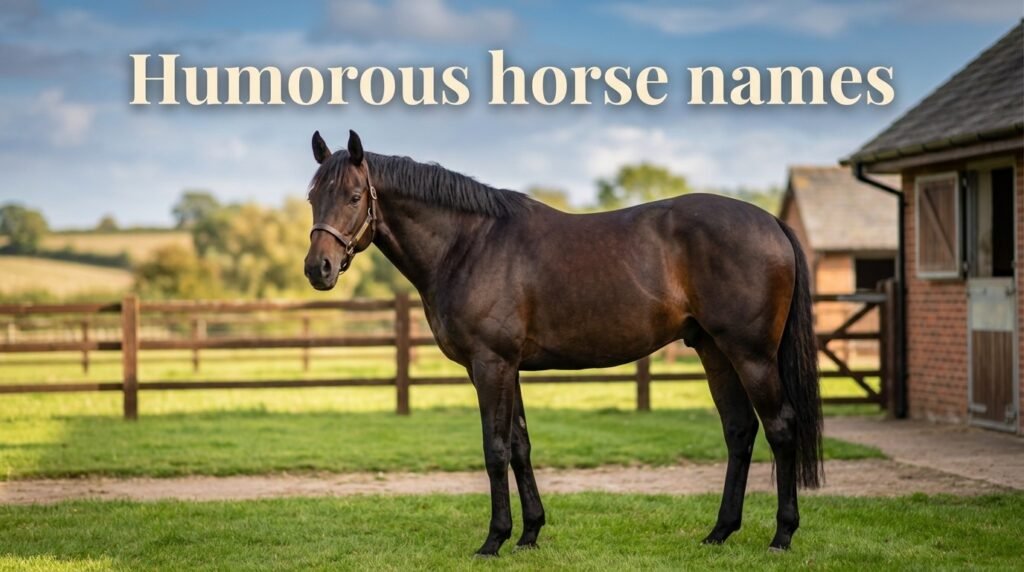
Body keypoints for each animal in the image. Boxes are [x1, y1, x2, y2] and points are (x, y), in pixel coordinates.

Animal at [303, 130, 823, 556]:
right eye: (312, 197)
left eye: (354, 196)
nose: (317, 268)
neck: (469, 245)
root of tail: (772, 223)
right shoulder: (507, 367)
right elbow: (520, 445)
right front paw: (529, 533)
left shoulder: (490, 365)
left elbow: (495, 448)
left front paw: (493, 540)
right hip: (715, 350)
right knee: (739, 430)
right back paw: (719, 532)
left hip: (751, 354)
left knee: (780, 427)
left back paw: (782, 535)